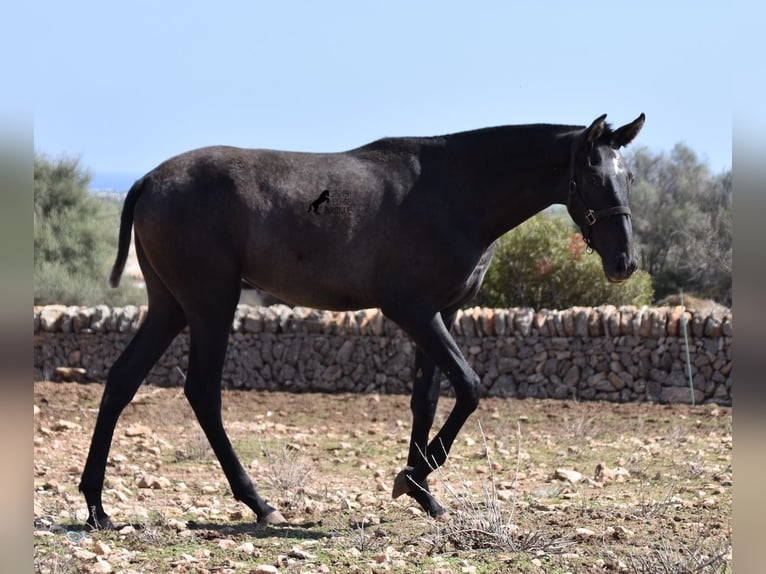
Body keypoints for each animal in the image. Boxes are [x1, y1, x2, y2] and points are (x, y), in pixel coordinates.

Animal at [80, 113, 645, 527]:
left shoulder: (442, 313)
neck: (455, 192)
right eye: (593, 176)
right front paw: (410, 479)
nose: (624, 262)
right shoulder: (413, 311)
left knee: (122, 380)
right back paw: (257, 503)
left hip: (170, 306)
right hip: (210, 304)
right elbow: (469, 386)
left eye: (630, 176)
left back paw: (96, 506)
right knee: (202, 392)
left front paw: (423, 493)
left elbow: (427, 399)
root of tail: (147, 180)